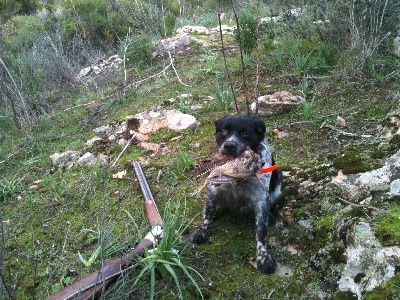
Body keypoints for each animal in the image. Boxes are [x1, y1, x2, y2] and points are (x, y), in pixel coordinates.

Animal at [192, 115, 282, 274]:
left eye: (245, 133)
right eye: (224, 131)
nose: (229, 146)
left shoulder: (262, 198)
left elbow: (261, 231)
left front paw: (263, 257)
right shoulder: (213, 189)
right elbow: (207, 214)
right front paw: (202, 232)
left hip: (277, 184)